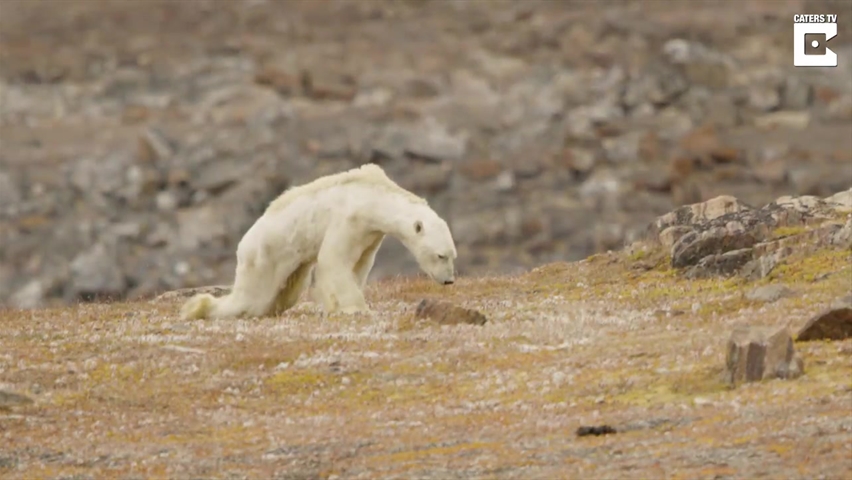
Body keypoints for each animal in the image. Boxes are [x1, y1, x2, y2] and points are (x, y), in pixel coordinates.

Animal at [179, 163, 456, 320]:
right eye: (440, 255)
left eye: (453, 255)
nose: (449, 281)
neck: (372, 196)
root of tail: (243, 245)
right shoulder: (349, 219)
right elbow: (334, 260)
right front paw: (355, 308)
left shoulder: (370, 233)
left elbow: (359, 264)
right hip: (264, 255)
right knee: (251, 298)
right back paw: (198, 308)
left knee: (284, 293)